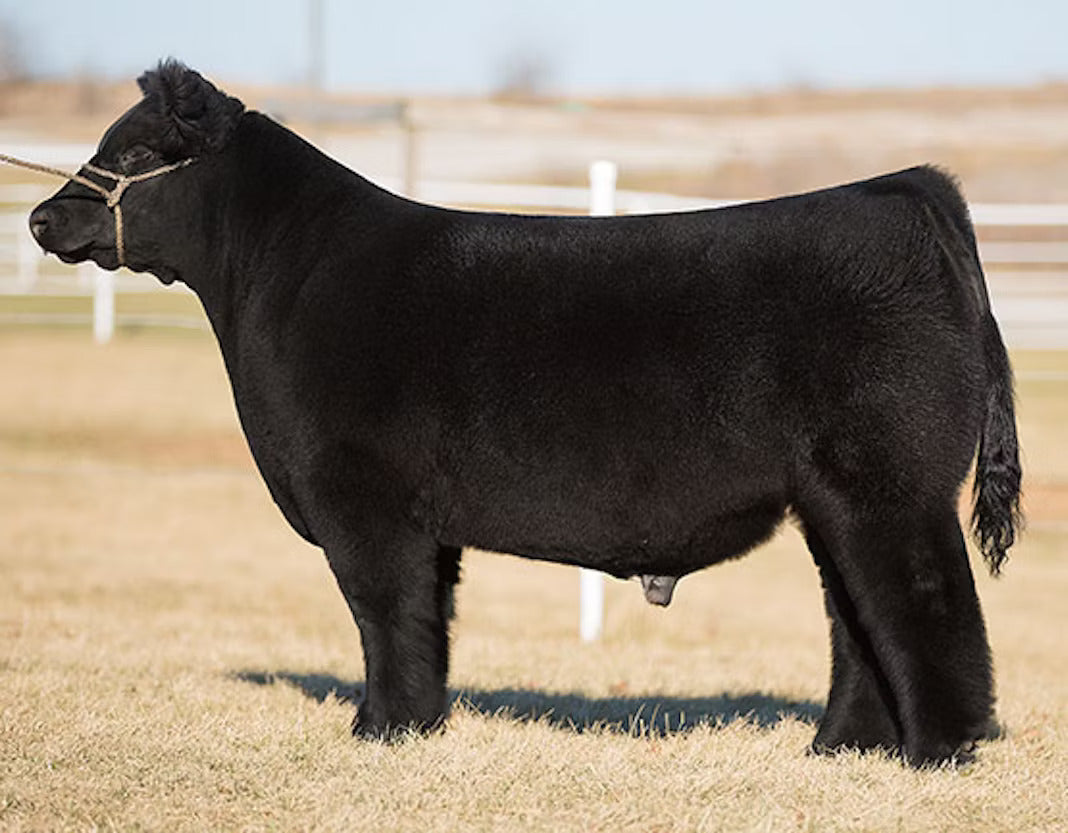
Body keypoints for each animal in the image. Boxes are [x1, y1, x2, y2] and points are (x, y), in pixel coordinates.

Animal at [29, 61, 1022, 767]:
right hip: (832, 498)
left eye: (131, 155)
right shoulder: (421, 522)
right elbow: (426, 618)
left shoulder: (362, 498)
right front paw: (416, 725)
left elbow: (382, 610)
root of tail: (906, 190)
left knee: (925, 603)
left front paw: (379, 730)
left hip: (888, 486)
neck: (281, 278)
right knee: (856, 617)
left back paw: (937, 751)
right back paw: (840, 749)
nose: (41, 218)